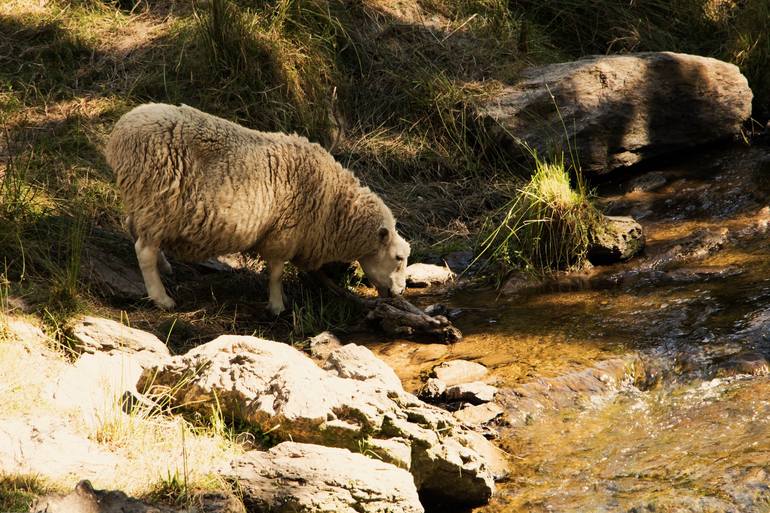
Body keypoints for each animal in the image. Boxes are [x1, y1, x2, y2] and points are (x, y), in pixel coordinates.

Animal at [105, 102, 412, 314]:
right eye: (398, 258)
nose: (401, 292)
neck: (333, 201)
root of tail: (120, 132)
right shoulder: (284, 234)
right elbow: (276, 272)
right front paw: (277, 305)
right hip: (158, 200)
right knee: (144, 251)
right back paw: (162, 298)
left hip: (146, 205)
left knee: (137, 231)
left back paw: (165, 267)